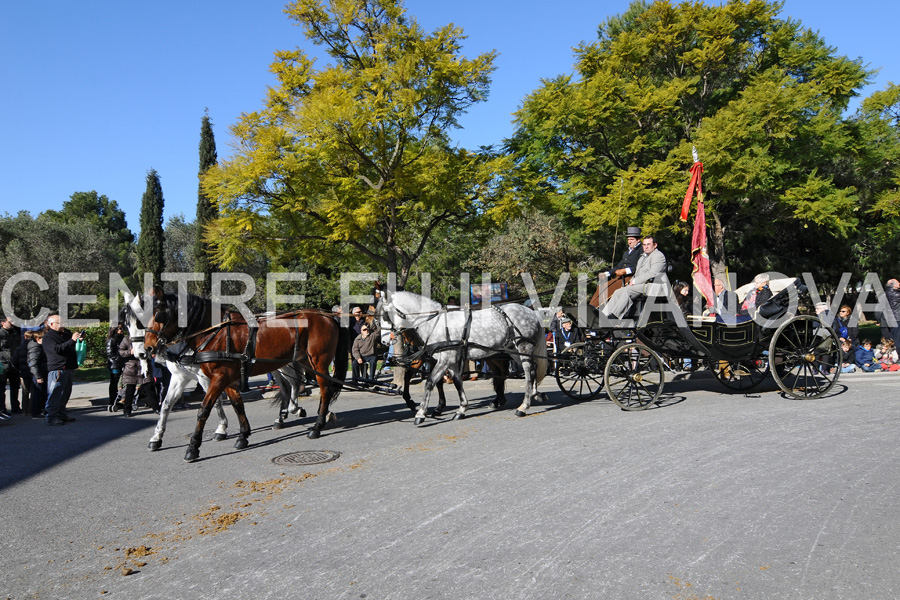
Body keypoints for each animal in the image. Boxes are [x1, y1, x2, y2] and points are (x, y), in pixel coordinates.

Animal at [121, 290, 308, 450]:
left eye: (140, 322)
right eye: (126, 325)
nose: (141, 353)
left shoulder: (206, 377)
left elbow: (215, 402)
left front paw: (221, 429)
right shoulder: (180, 377)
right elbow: (166, 405)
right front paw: (156, 437)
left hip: (284, 364)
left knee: (294, 383)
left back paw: (294, 409)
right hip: (274, 365)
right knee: (285, 386)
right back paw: (281, 417)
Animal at [143, 286, 348, 464]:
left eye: (160, 314)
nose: (148, 347)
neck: (216, 333)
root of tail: (328, 317)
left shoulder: (218, 378)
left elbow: (204, 410)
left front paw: (193, 448)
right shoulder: (228, 380)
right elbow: (237, 406)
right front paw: (242, 436)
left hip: (317, 362)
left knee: (324, 390)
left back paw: (317, 426)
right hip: (299, 362)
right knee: (298, 388)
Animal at [378, 290, 548, 422]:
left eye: (385, 315)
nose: (384, 341)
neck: (436, 323)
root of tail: (531, 312)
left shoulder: (444, 359)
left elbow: (430, 382)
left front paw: (421, 413)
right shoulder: (451, 361)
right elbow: (457, 382)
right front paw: (461, 409)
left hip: (523, 348)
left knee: (528, 372)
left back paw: (523, 406)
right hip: (514, 351)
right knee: (531, 369)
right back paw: (533, 394)